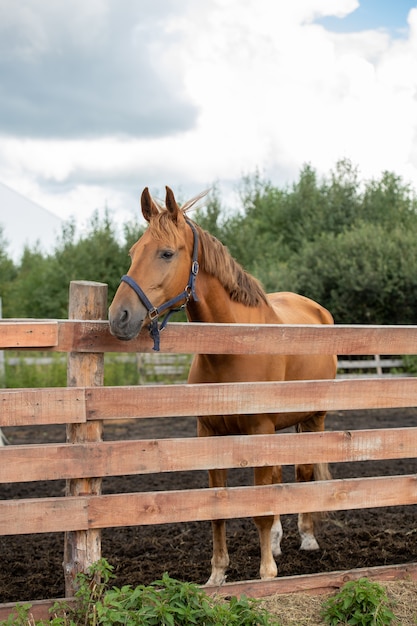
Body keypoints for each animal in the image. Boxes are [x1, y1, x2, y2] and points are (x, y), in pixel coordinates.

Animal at [109, 185, 336, 584]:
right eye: (134, 252)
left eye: (166, 253)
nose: (119, 317)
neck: (232, 349)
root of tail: (317, 310)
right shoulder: (210, 434)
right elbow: (218, 508)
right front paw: (217, 574)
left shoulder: (260, 431)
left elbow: (260, 508)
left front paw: (266, 573)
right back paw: (279, 540)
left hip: (314, 418)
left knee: (305, 471)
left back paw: (307, 537)